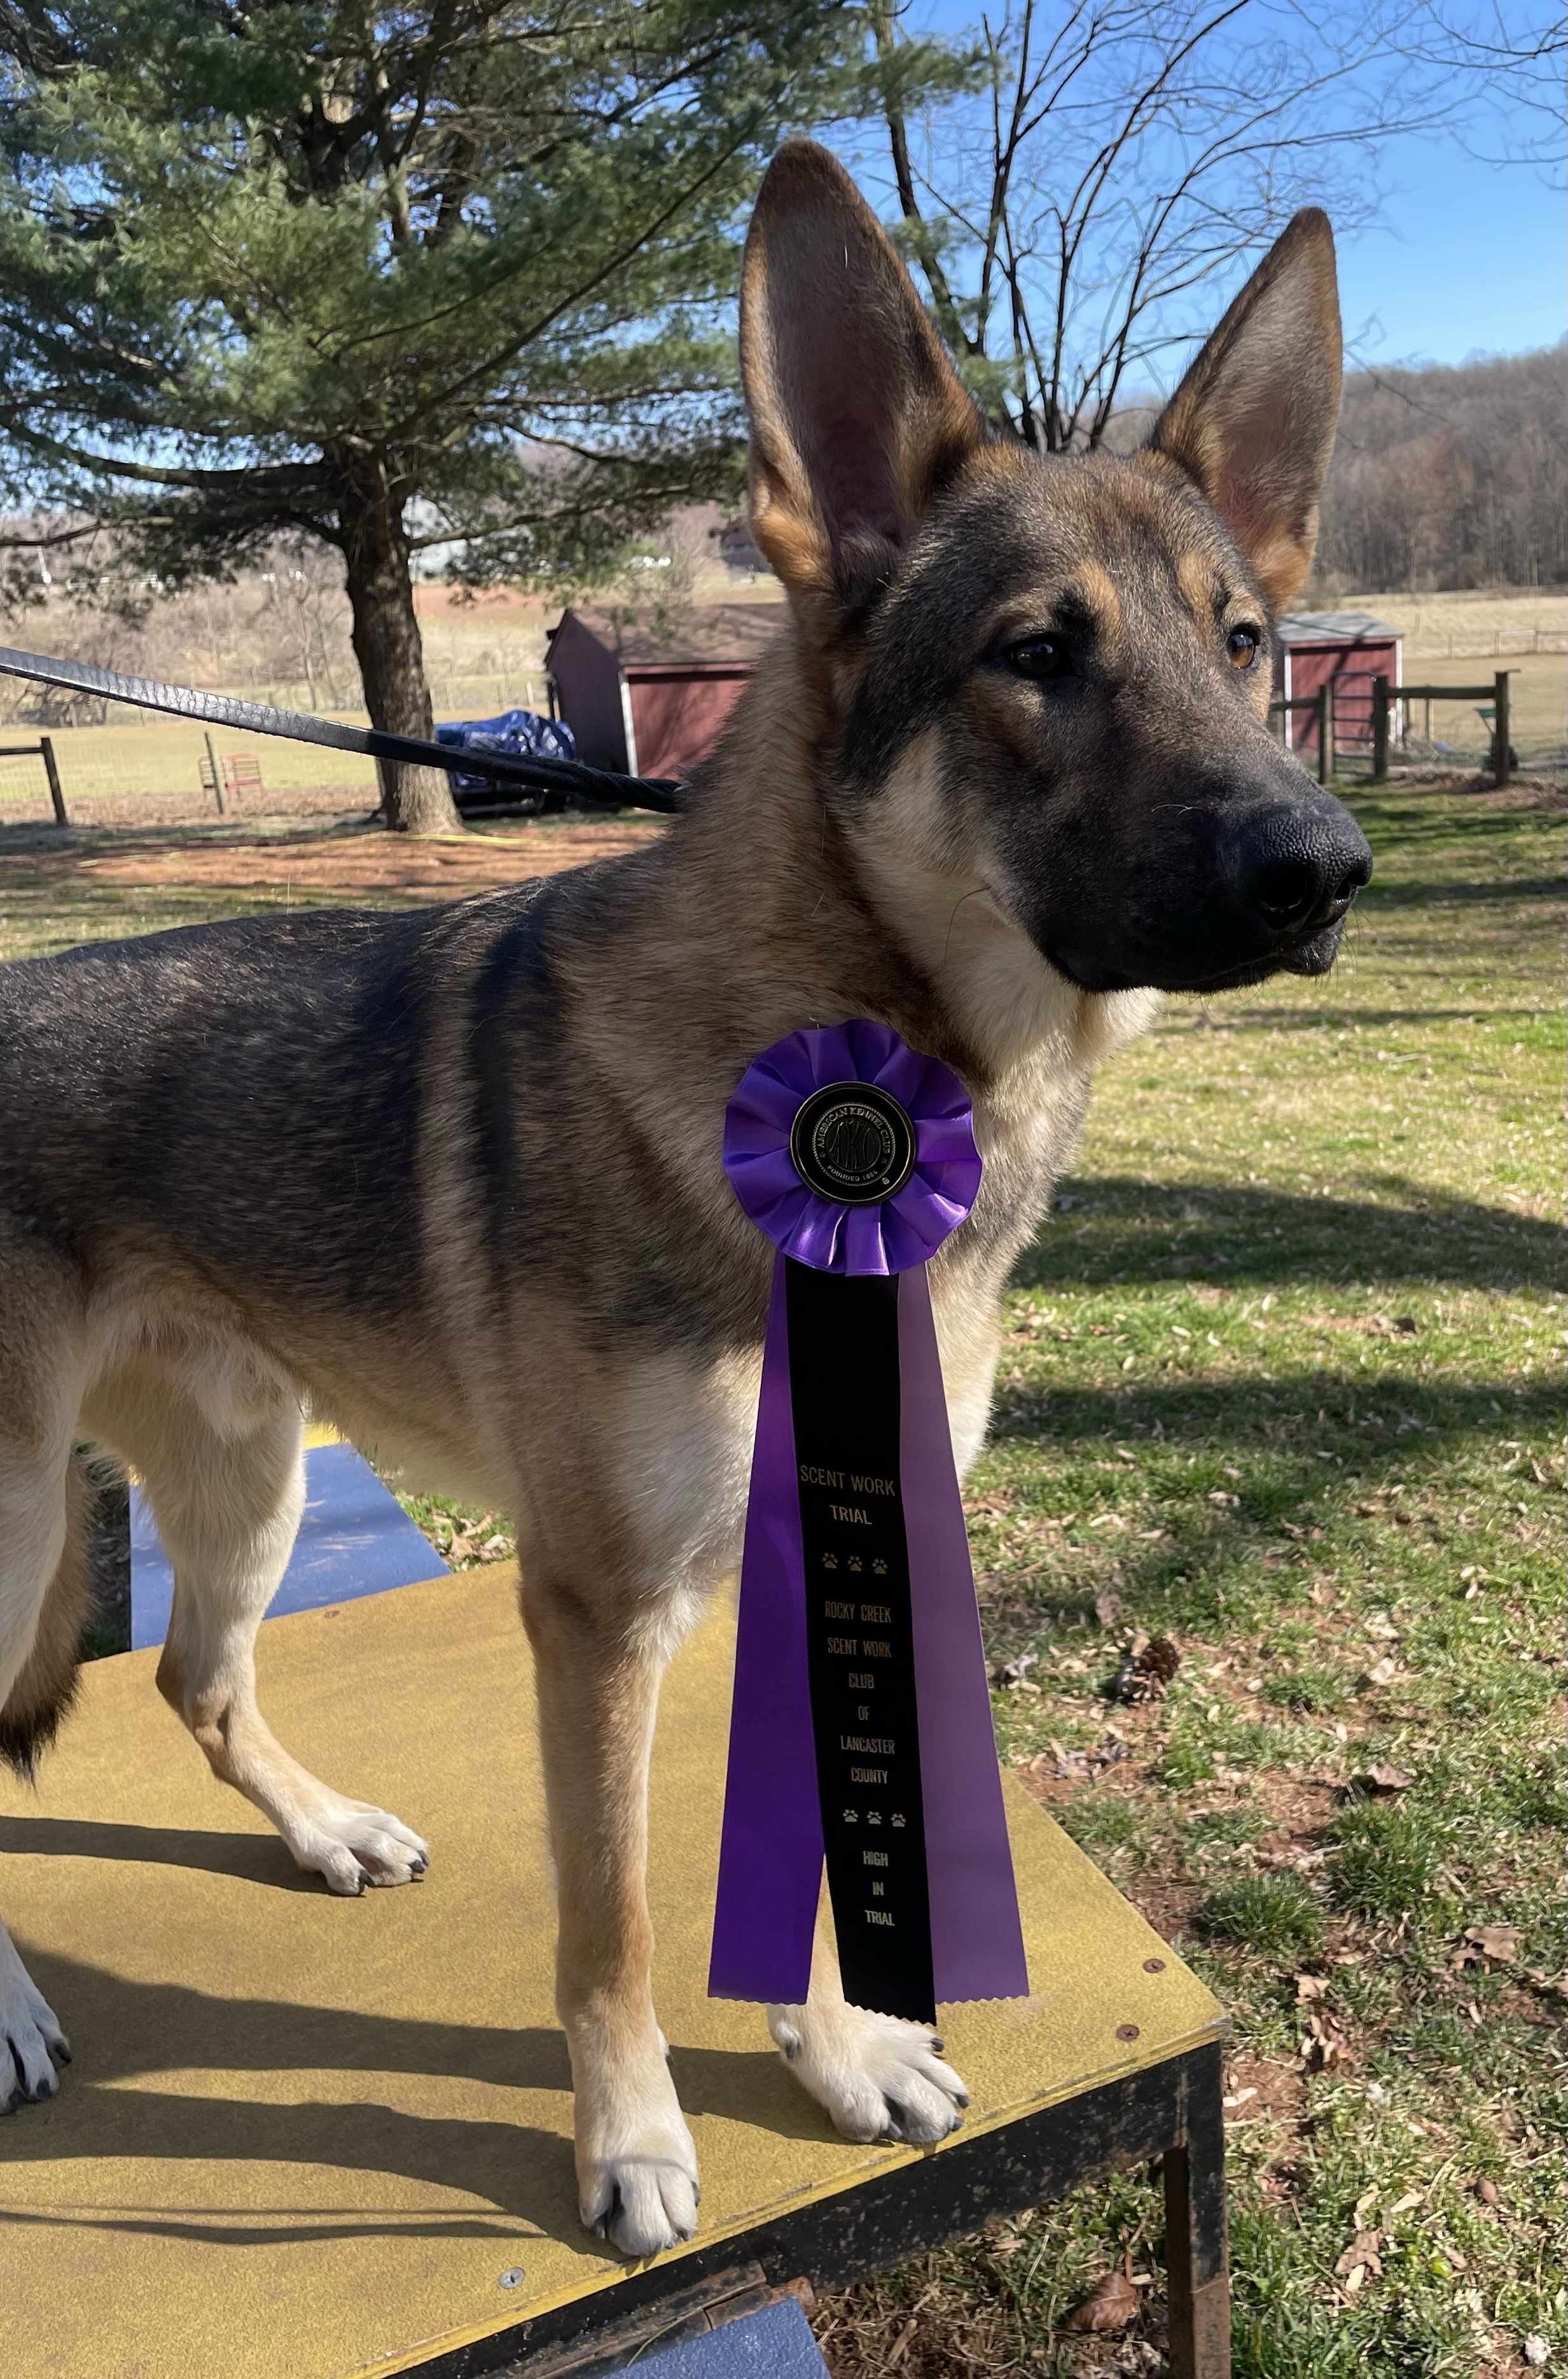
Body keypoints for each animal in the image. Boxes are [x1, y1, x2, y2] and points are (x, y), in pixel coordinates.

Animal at [0, 140, 1369, 2257]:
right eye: (1035, 655)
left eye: (1241, 643)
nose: (1324, 867)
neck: (855, 1040)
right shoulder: (601, 1614)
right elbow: (616, 1922)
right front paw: (632, 2139)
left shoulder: (818, 1557)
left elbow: (795, 1867)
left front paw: (835, 2050)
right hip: (14, 1527)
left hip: (249, 1475)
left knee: (194, 1676)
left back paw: (323, 1829)